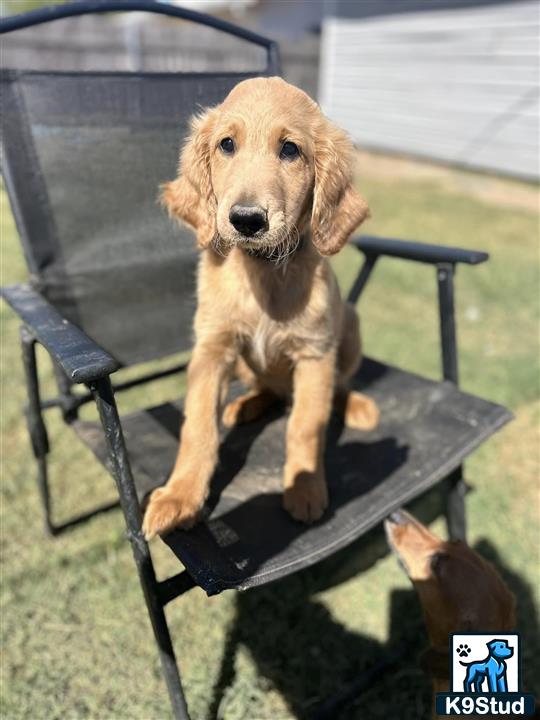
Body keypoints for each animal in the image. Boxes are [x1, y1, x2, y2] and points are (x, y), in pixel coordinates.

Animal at [143, 79, 380, 540]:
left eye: (290, 150)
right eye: (226, 144)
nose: (247, 220)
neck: (264, 272)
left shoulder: (315, 354)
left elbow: (306, 425)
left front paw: (305, 487)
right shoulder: (212, 350)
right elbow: (197, 427)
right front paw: (180, 497)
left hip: (351, 325)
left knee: (338, 386)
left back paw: (355, 404)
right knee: (266, 390)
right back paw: (245, 406)